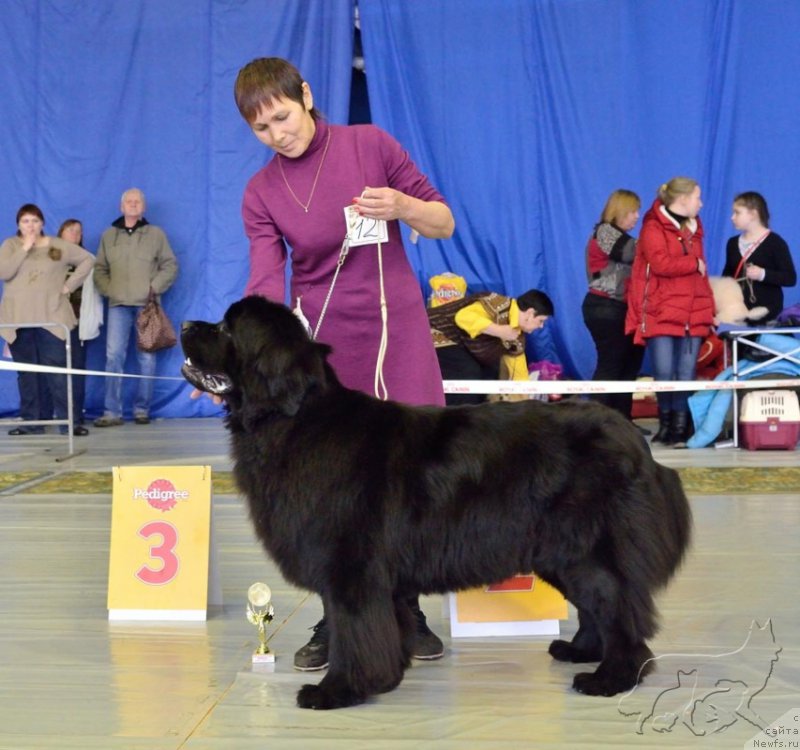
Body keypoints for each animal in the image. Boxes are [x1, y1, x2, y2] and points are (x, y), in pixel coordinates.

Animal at [181, 296, 692, 712]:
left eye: (226, 329)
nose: (184, 322)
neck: (295, 419)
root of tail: (636, 442)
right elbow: (380, 627)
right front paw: (385, 676)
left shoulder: (351, 567)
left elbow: (353, 631)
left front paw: (339, 690)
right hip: (559, 553)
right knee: (597, 607)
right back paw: (581, 651)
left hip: (583, 549)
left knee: (616, 608)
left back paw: (610, 678)